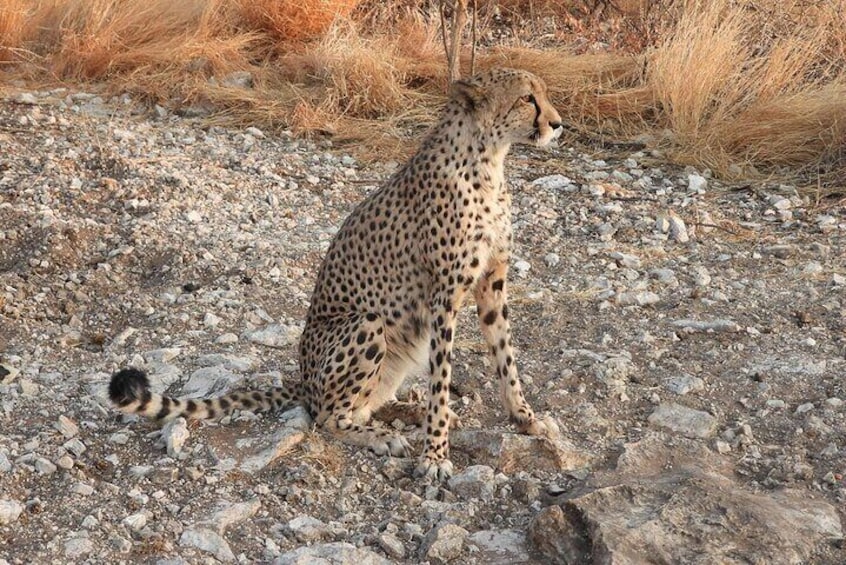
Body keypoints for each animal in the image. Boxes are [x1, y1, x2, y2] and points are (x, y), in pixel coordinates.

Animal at [109, 67, 564, 480]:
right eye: (527, 98)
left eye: (543, 94)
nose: (557, 124)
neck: (488, 160)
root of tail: (305, 381)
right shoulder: (443, 296)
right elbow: (443, 379)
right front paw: (435, 454)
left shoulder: (492, 282)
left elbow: (505, 356)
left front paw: (524, 417)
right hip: (366, 323)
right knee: (327, 416)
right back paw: (383, 435)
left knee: (364, 402)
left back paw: (408, 409)